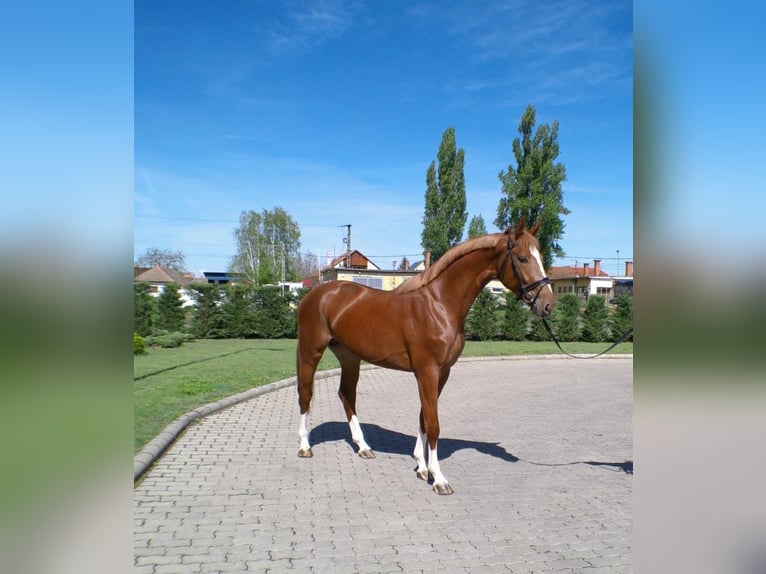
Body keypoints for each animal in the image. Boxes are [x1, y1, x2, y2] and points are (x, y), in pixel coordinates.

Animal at [296, 219, 556, 496]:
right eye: (522, 258)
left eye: (540, 257)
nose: (548, 304)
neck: (440, 306)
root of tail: (318, 293)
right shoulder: (427, 371)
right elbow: (433, 423)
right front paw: (439, 479)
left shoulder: (442, 372)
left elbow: (423, 417)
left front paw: (422, 466)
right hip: (311, 350)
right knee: (306, 393)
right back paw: (305, 446)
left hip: (349, 357)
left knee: (347, 395)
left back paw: (363, 447)